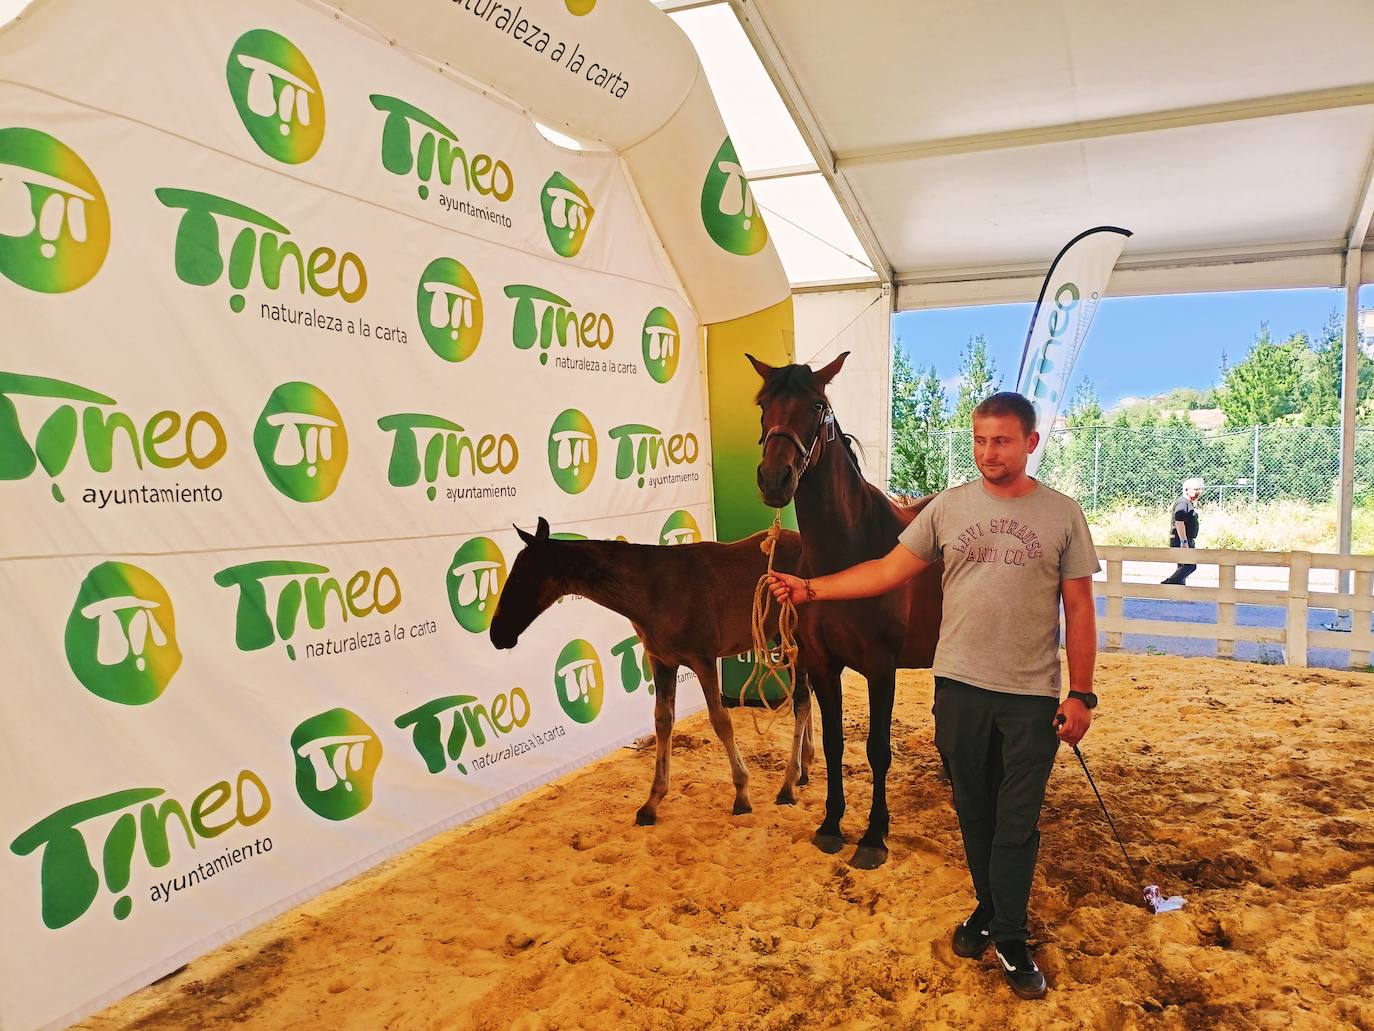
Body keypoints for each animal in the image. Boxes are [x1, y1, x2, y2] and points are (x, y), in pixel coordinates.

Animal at [488, 516, 815, 826]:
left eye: (523, 576)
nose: (497, 634)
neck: (654, 590)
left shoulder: (703, 660)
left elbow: (721, 721)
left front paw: (742, 795)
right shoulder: (661, 661)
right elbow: (663, 721)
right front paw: (651, 803)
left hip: (793, 638)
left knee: (801, 700)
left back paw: (788, 784)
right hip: (782, 636)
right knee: (808, 695)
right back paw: (804, 767)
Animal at [749, 351, 944, 869]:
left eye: (818, 405)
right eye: (763, 404)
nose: (774, 479)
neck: (850, 553)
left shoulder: (881, 667)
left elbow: (878, 750)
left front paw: (874, 836)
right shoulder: (821, 665)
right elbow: (835, 743)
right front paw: (832, 824)